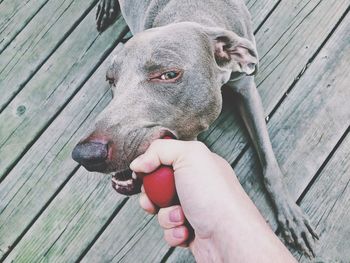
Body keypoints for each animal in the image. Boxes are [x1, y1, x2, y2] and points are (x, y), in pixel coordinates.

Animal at [71, 0, 318, 258]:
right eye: (111, 80)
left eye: (168, 74)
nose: (85, 154)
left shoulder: (246, 87)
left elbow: (269, 162)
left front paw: (291, 215)